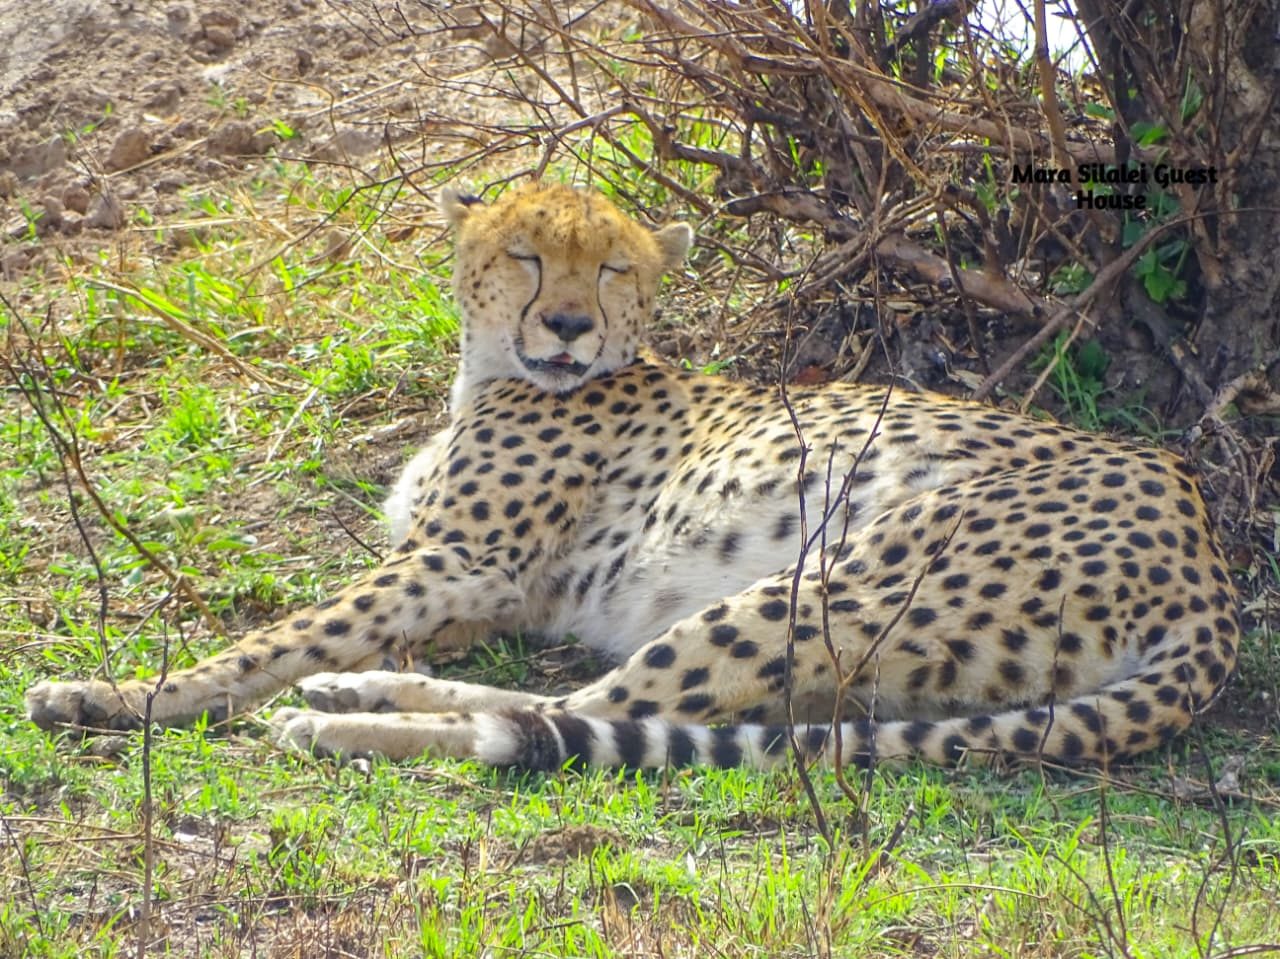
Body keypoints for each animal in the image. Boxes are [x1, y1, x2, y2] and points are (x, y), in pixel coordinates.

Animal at [27, 181, 1240, 771]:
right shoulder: (484, 583)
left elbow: (272, 638)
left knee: (580, 714)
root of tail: (1209, 566)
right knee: (566, 704)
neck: (495, 370)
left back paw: (337, 725)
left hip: (833, 581)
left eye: (611, 268)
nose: (566, 323)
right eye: (525, 255)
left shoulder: (458, 555)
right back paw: (356, 695)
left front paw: (123, 695)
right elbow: (391, 636)